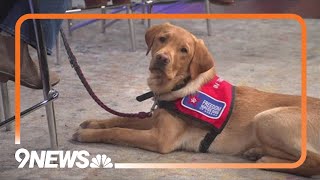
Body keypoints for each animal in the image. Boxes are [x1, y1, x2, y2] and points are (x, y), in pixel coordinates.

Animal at [72, 23, 320, 176]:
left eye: (184, 50)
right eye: (162, 39)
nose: (162, 58)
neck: (178, 86)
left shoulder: (160, 139)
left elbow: (120, 131)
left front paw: (87, 134)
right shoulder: (156, 118)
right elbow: (124, 120)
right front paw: (94, 123)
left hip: (266, 118)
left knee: (314, 162)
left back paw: (266, 159)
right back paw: (257, 151)